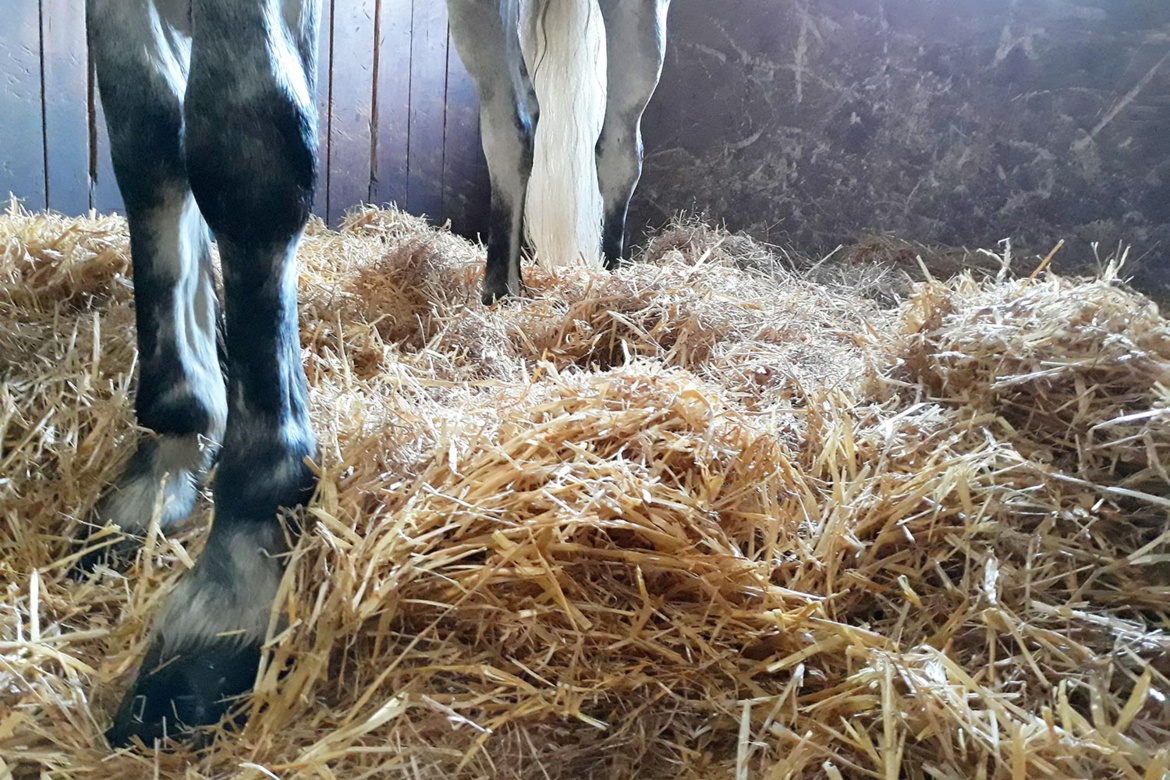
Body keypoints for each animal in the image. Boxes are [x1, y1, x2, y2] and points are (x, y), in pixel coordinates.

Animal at [80, 0, 669, 748]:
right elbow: (145, 139)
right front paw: (169, 453)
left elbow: (250, 149)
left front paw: (235, 578)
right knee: (513, 122)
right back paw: (500, 293)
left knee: (617, 140)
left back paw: (617, 284)